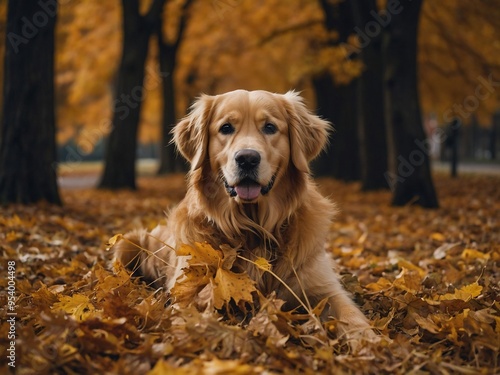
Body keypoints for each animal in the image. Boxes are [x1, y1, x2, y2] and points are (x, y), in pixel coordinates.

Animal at [115, 90, 374, 340]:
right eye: (226, 128)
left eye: (270, 127)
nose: (247, 158)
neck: (252, 229)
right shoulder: (189, 288)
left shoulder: (324, 288)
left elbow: (352, 316)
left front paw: (369, 341)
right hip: (126, 243)